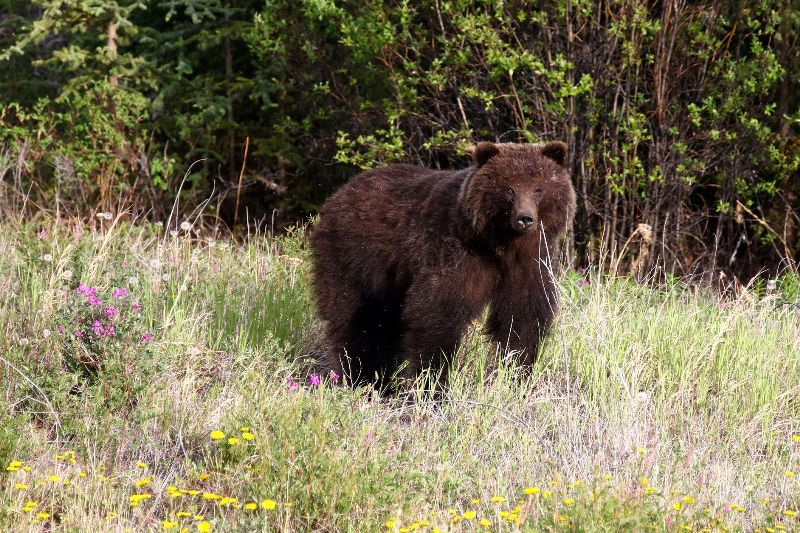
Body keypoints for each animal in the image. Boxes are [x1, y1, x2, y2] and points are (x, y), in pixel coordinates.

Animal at [308, 141, 576, 388]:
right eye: (509, 189)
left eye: (539, 188)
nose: (525, 218)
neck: (501, 246)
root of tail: (341, 191)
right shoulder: (457, 252)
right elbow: (438, 312)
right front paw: (433, 382)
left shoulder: (530, 264)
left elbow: (523, 317)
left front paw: (518, 374)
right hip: (353, 256)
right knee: (356, 317)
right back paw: (363, 377)